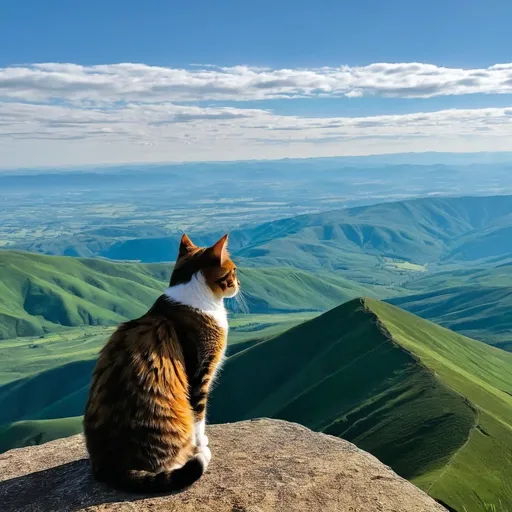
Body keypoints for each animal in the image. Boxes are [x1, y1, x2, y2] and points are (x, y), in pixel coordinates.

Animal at [83, 234, 239, 494]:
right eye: (233, 270)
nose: (239, 283)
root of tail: (108, 466)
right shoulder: (200, 372)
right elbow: (199, 416)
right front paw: (201, 443)